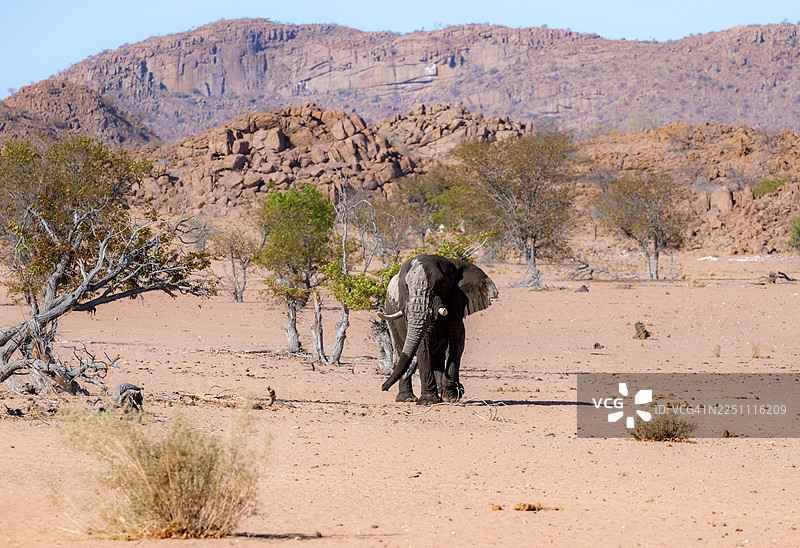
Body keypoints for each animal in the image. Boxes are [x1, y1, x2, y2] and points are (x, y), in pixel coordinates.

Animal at [378, 254, 498, 404]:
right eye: (406, 287)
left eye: (439, 285)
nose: (383, 388)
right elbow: (423, 345)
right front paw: (428, 401)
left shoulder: (456, 305)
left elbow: (457, 342)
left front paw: (451, 397)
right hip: (391, 317)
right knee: (401, 349)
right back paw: (407, 398)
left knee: (437, 356)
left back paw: (440, 395)